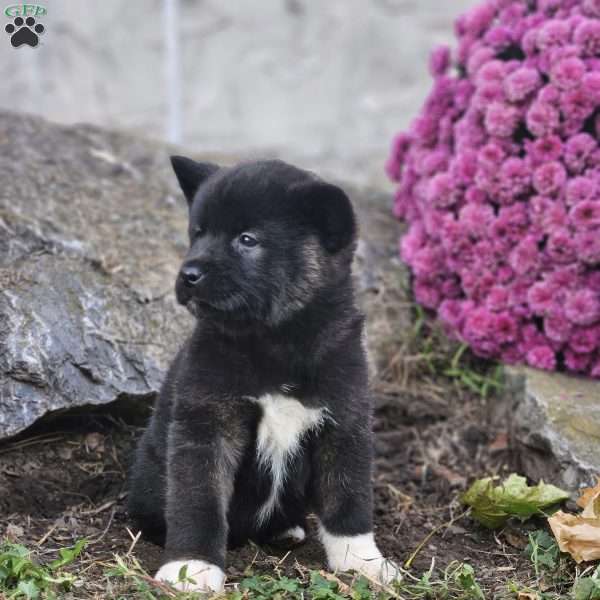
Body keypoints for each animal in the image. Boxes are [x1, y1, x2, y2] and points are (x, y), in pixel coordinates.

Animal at [127, 157, 398, 592]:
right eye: (197, 233)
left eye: (247, 240)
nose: (188, 274)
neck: (276, 339)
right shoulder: (207, 424)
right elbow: (198, 500)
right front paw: (191, 567)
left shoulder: (345, 421)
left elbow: (348, 497)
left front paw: (362, 560)